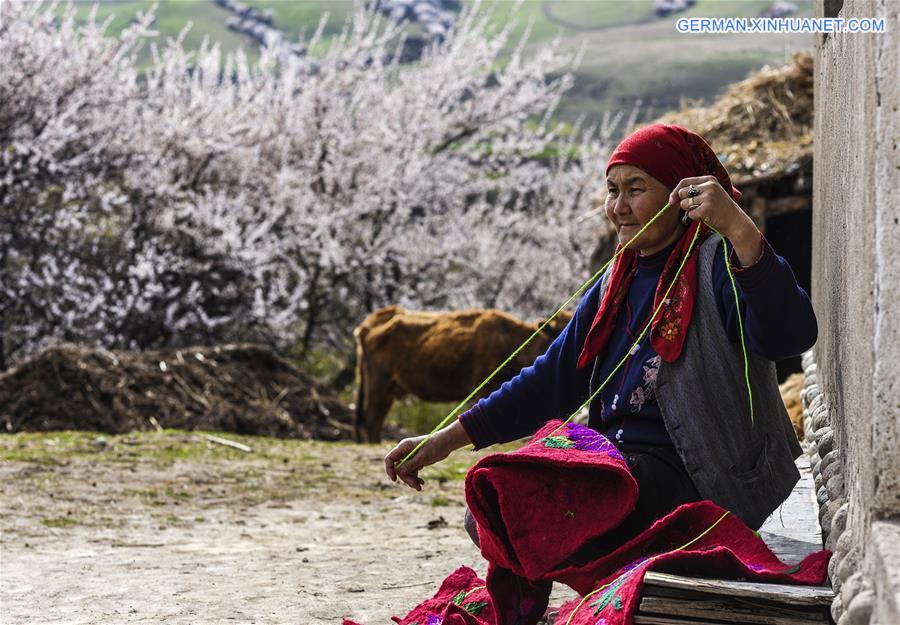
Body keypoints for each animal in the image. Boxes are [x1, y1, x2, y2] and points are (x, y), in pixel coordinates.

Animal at [354, 304, 572, 442]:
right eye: (558, 331)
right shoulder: (483, 386)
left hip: (388, 389)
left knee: (376, 421)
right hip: (378, 384)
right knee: (372, 421)